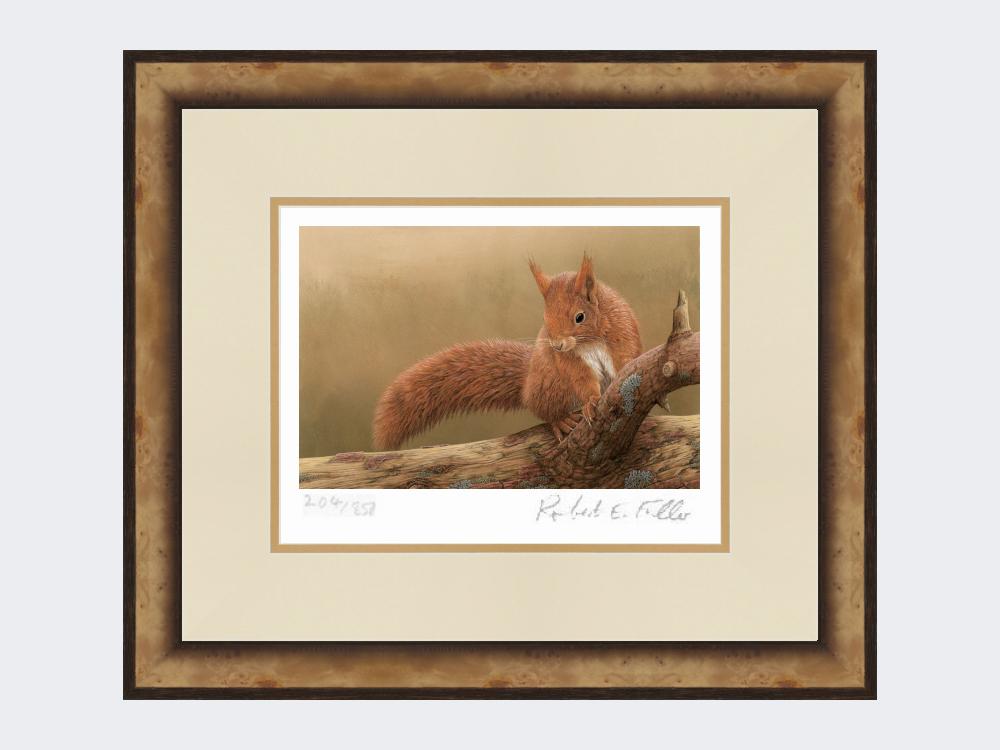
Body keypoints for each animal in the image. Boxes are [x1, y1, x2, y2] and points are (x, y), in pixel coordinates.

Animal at [372, 254, 643, 450]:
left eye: (580, 317)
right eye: (544, 320)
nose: (556, 345)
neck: (588, 341)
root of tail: (527, 385)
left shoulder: (621, 332)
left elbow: (626, 357)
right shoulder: (569, 361)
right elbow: (581, 378)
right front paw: (590, 402)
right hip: (551, 385)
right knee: (545, 411)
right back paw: (562, 421)